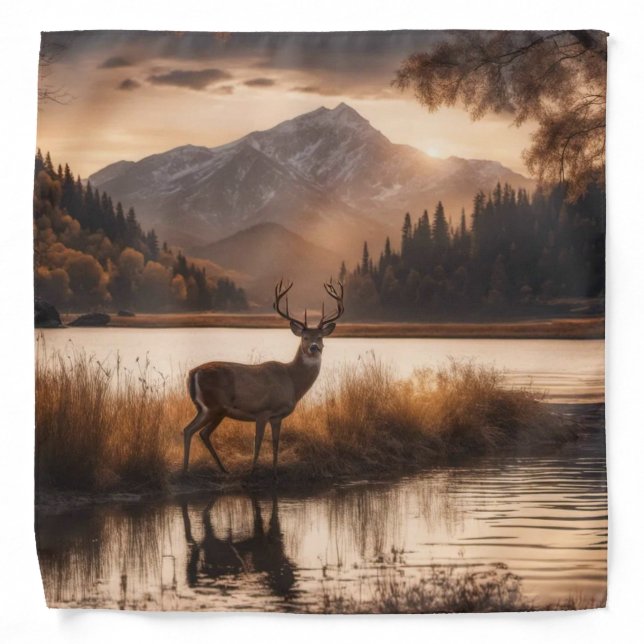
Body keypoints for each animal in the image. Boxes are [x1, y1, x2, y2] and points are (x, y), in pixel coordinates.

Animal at [181, 279, 344, 478]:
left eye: (320, 337)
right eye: (304, 337)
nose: (314, 347)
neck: (292, 381)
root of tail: (193, 372)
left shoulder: (277, 416)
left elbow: (275, 443)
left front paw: (275, 472)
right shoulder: (262, 411)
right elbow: (257, 443)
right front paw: (252, 471)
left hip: (210, 409)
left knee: (198, 432)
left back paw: (219, 469)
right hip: (214, 407)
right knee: (191, 430)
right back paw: (187, 470)